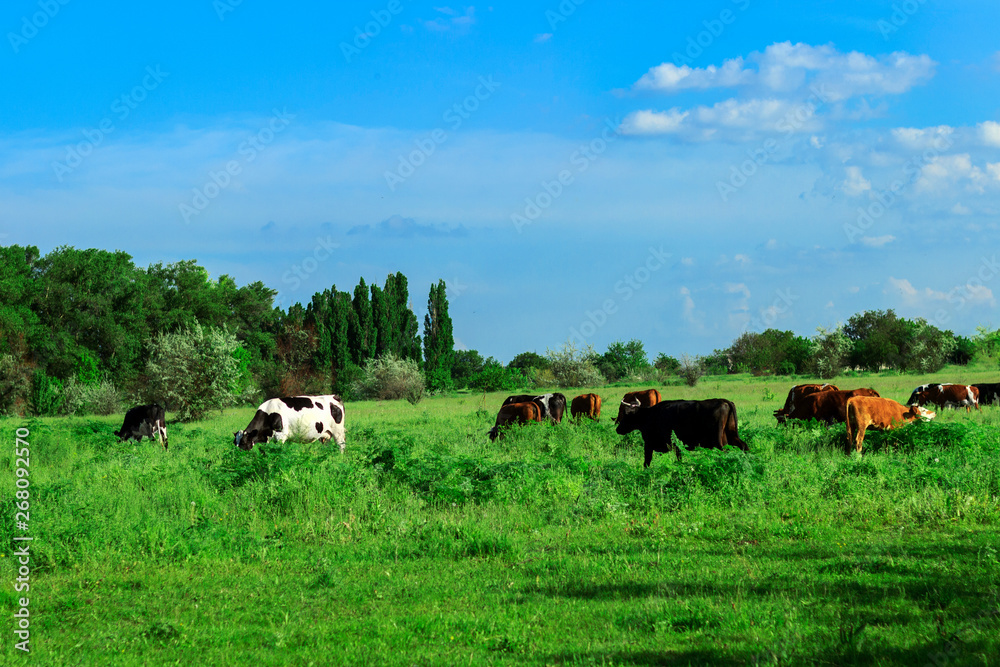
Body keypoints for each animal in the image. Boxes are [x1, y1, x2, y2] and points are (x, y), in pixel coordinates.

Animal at [612, 400, 748, 468]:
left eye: (626, 416)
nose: (618, 429)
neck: (650, 416)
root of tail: (724, 402)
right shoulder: (678, 448)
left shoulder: (649, 444)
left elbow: (647, 462)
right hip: (732, 435)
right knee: (744, 446)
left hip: (718, 441)